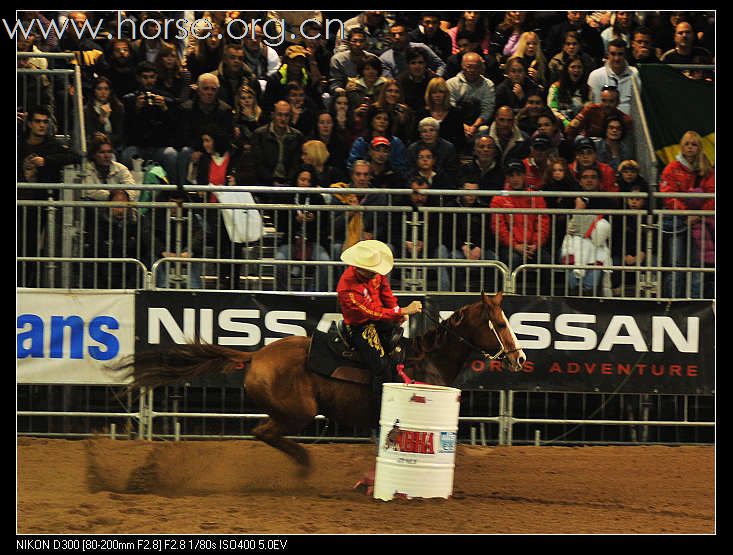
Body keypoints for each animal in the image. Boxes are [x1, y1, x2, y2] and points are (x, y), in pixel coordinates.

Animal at [113, 294, 528, 472]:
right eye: (500, 323)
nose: (520, 357)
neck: (427, 358)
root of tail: (256, 356)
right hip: (297, 412)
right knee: (263, 432)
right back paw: (304, 463)